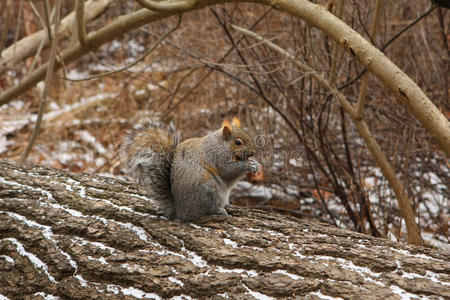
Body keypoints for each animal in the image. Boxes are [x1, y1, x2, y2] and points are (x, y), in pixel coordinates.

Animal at [123, 118, 260, 221]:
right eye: (238, 142)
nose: (253, 152)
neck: (221, 144)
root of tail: (180, 211)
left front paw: (256, 163)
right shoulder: (216, 156)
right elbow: (229, 170)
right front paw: (248, 165)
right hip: (209, 188)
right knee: (207, 209)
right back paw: (218, 209)